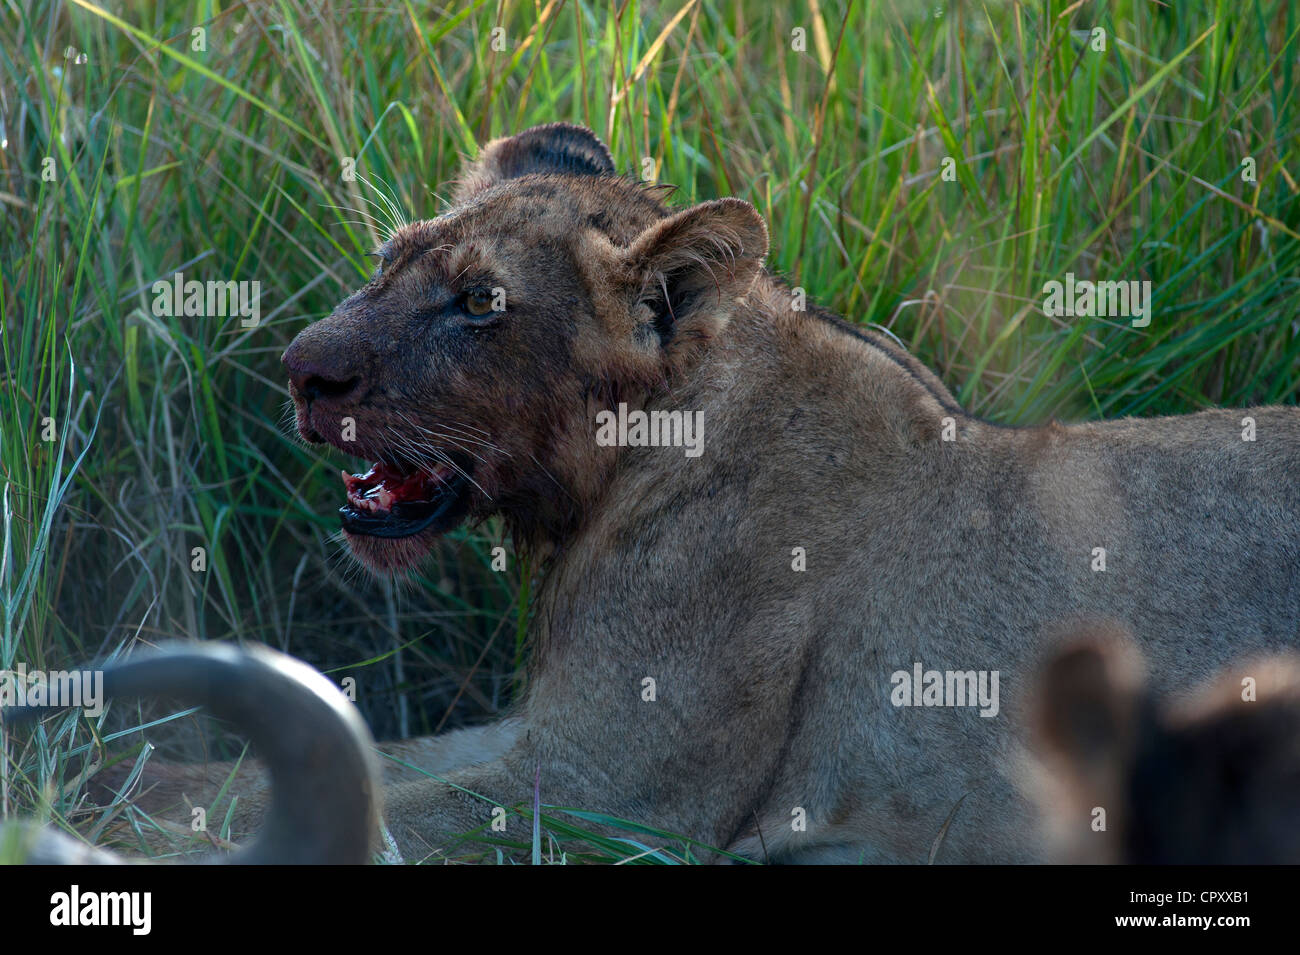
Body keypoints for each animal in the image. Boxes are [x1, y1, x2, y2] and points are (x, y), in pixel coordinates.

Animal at [83, 121, 1300, 867]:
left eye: (479, 303)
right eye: (388, 260)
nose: (301, 371)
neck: (610, 476)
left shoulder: (605, 798)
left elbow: (346, 804)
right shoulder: (549, 731)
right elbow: (362, 755)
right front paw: (113, 765)